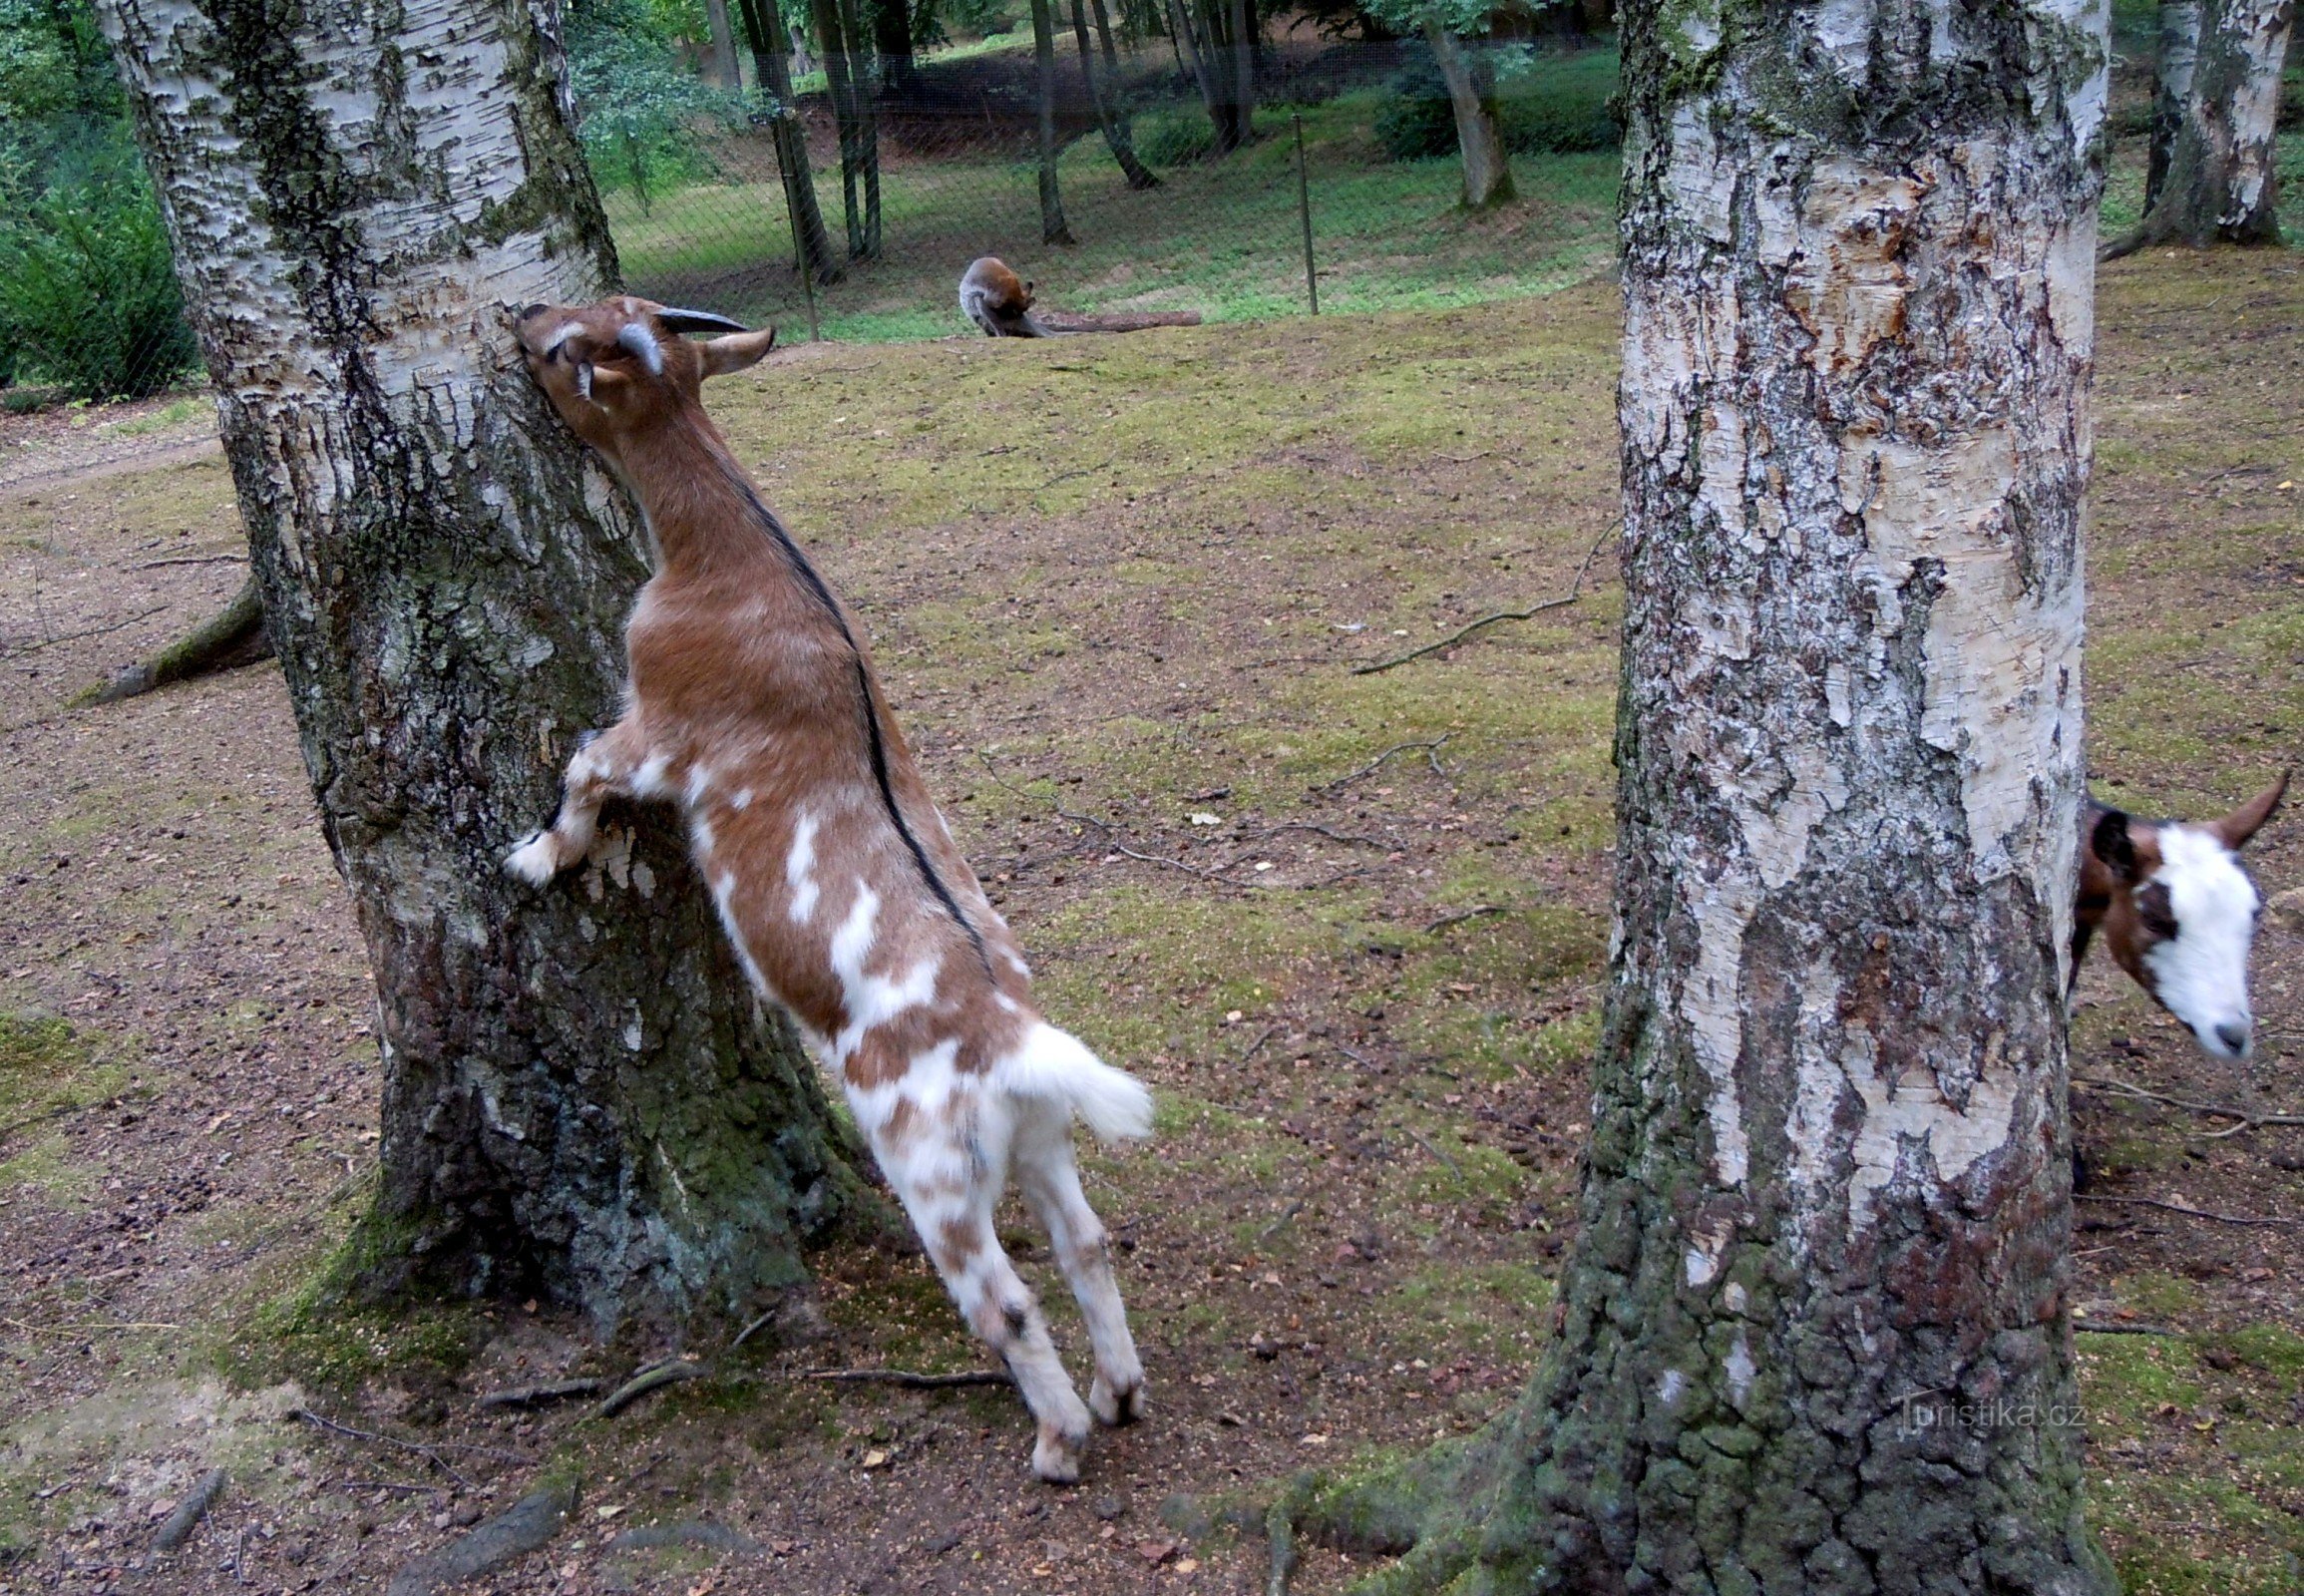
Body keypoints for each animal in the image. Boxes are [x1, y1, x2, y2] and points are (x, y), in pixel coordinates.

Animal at [504, 299, 1152, 1482]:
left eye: (570, 346)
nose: (517, 318)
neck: (737, 557)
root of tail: (1006, 1037)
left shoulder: (657, 733)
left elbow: (579, 768)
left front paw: (536, 859)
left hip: (928, 1167)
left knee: (1004, 1298)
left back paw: (1058, 1438)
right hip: (1038, 1137)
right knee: (1086, 1240)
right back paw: (1115, 1391)